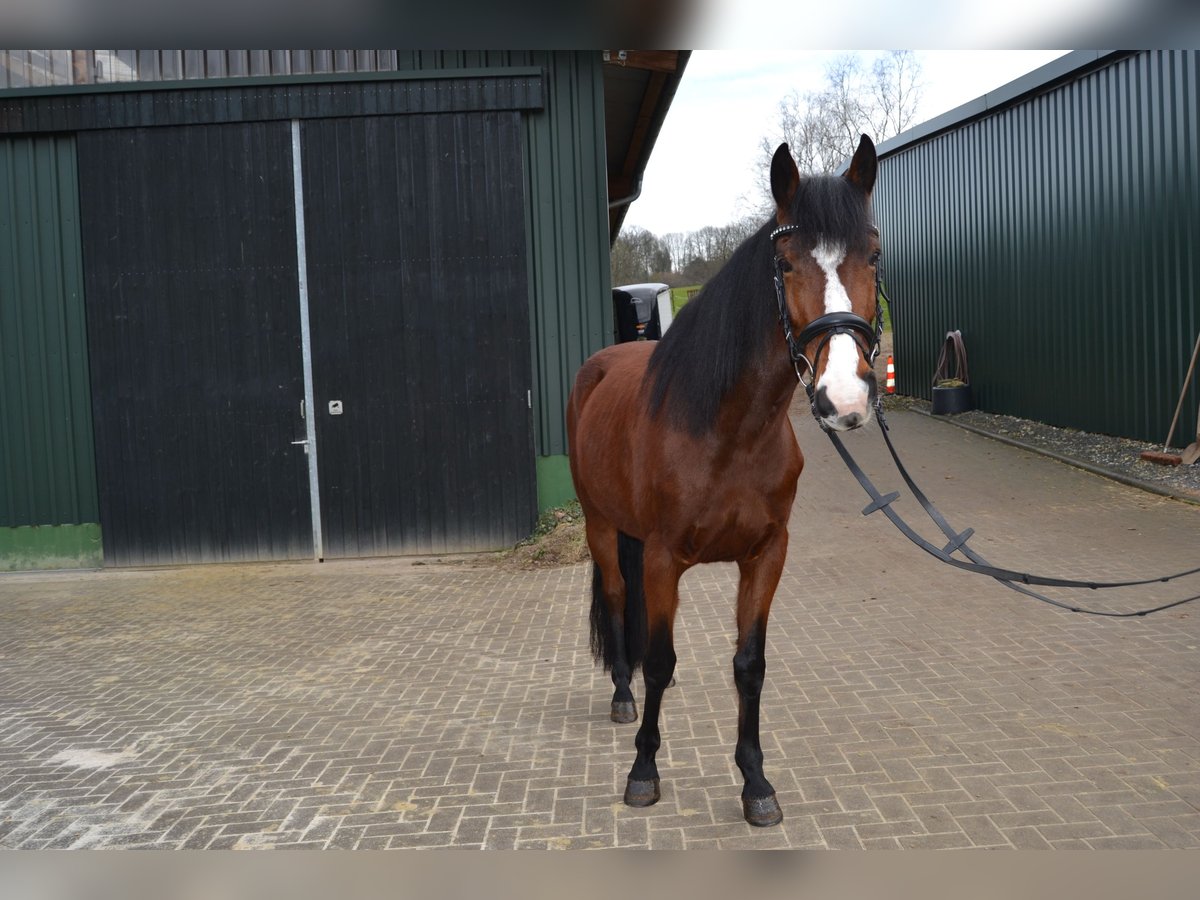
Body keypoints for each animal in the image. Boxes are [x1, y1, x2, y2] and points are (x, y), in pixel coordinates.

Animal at [561, 137, 883, 830]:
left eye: (872, 254)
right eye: (784, 263)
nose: (844, 398)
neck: (728, 431)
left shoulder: (766, 555)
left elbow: (749, 665)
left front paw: (756, 782)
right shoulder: (662, 558)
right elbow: (659, 660)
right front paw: (643, 772)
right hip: (602, 526)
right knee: (618, 599)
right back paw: (622, 696)